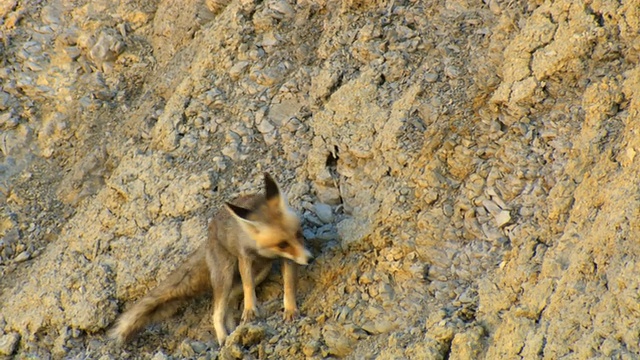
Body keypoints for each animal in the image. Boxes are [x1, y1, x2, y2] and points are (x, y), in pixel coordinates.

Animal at [110, 173, 316, 344]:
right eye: (282, 244)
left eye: (298, 234)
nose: (310, 259)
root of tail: (209, 236)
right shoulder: (245, 258)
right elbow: (249, 288)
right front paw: (250, 308)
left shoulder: (288, 259)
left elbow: (289, 285)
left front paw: (290, 309)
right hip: (225, 276)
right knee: (216, 312)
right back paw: (224, 338)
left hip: (260, 272)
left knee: (230, 302)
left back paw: (233, 330)